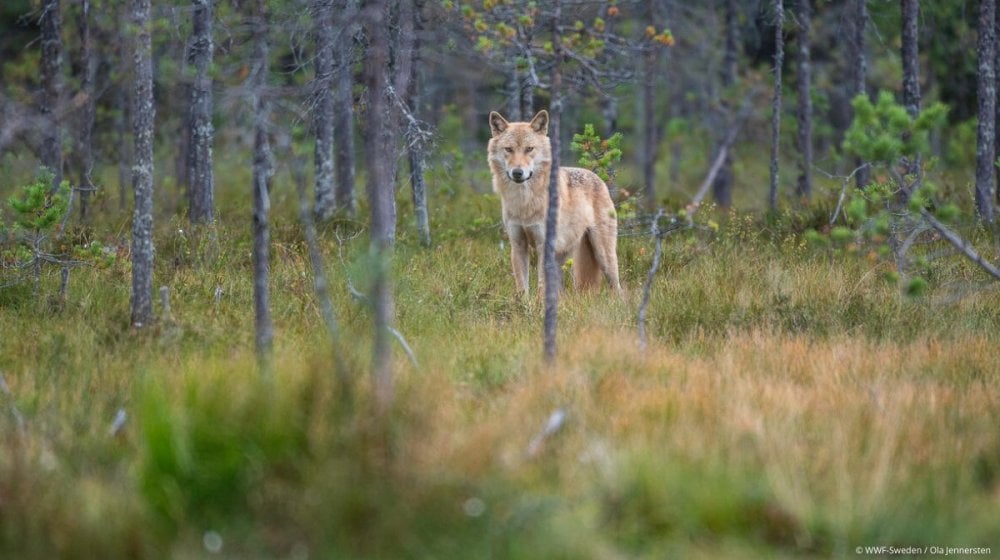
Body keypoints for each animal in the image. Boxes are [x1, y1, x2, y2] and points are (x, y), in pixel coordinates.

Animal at [488, 109, 620, 298]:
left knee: (618, 287)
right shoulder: (518, 244)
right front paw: (523, 304)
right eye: (509, 149)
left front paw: (539, 304)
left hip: (604, 255)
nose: (518, 172)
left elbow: (541, 285)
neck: (525, 202)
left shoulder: (544, 246)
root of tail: (596, 177)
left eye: (529, 149)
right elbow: (522, 286)